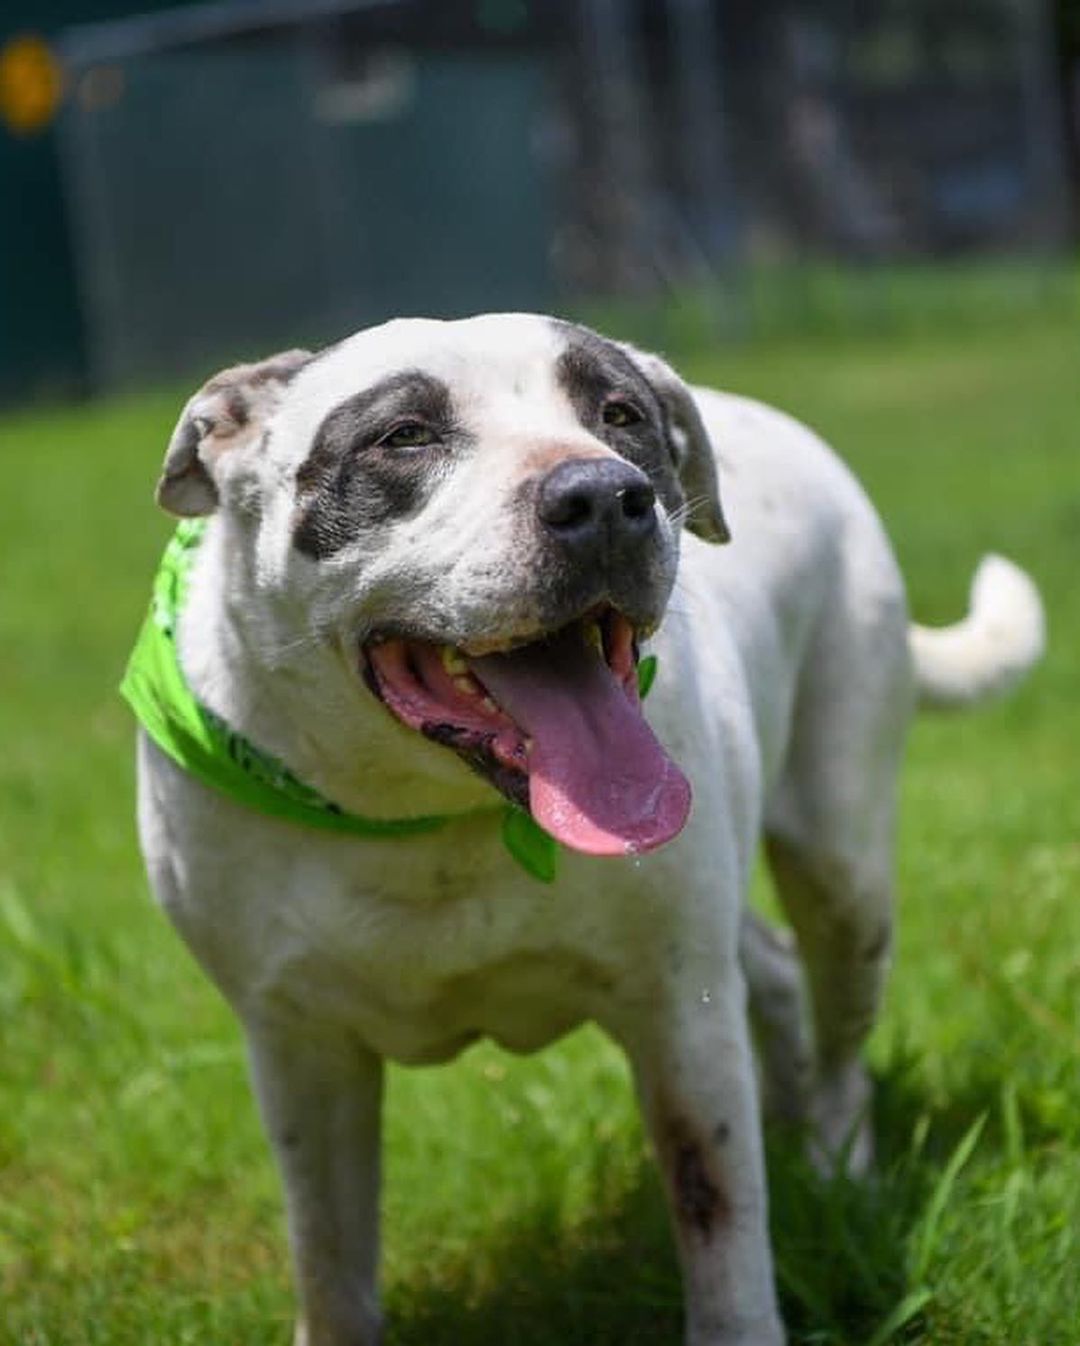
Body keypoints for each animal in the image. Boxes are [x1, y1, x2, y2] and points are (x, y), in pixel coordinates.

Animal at [121, 309, 1039, 1340]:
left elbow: (719, 1219)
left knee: (840, 1035)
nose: (604, 494)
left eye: (620, 415)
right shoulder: (300, 1049)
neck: (427, 814)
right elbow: (329, 1253)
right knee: (771, 968)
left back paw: (837, 1165)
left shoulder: (682, 1015)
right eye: (404, 436)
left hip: (844, 873)